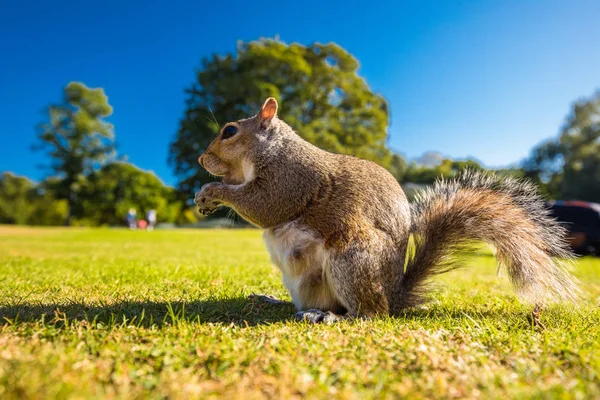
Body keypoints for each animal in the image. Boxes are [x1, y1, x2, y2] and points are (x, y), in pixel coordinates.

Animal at [195, 97, 580, 324]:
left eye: (229, 131)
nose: (201, 159)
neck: (269, 151)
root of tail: (394, 295)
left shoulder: (290, 180)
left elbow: (264, 207)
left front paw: (213, 191)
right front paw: (204, 196)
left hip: (353, 259)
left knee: (370, 314)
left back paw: (336, 317)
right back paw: (276, 301)